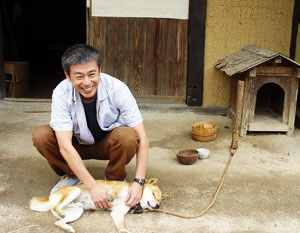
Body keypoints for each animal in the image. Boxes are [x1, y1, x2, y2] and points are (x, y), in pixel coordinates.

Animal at [29, 177, 165, 232]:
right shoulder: (116, 189)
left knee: (58, 221)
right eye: (154, 194)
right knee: (57, 207)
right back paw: (61, 213)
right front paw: (110, 197)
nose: (157, 206)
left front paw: (123, 230)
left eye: (159, 200)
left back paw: (67, 228)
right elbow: (113, 193)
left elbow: (121, 225)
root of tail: (50, 197)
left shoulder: (117, 213)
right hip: (75, 191)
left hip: (77, 211)